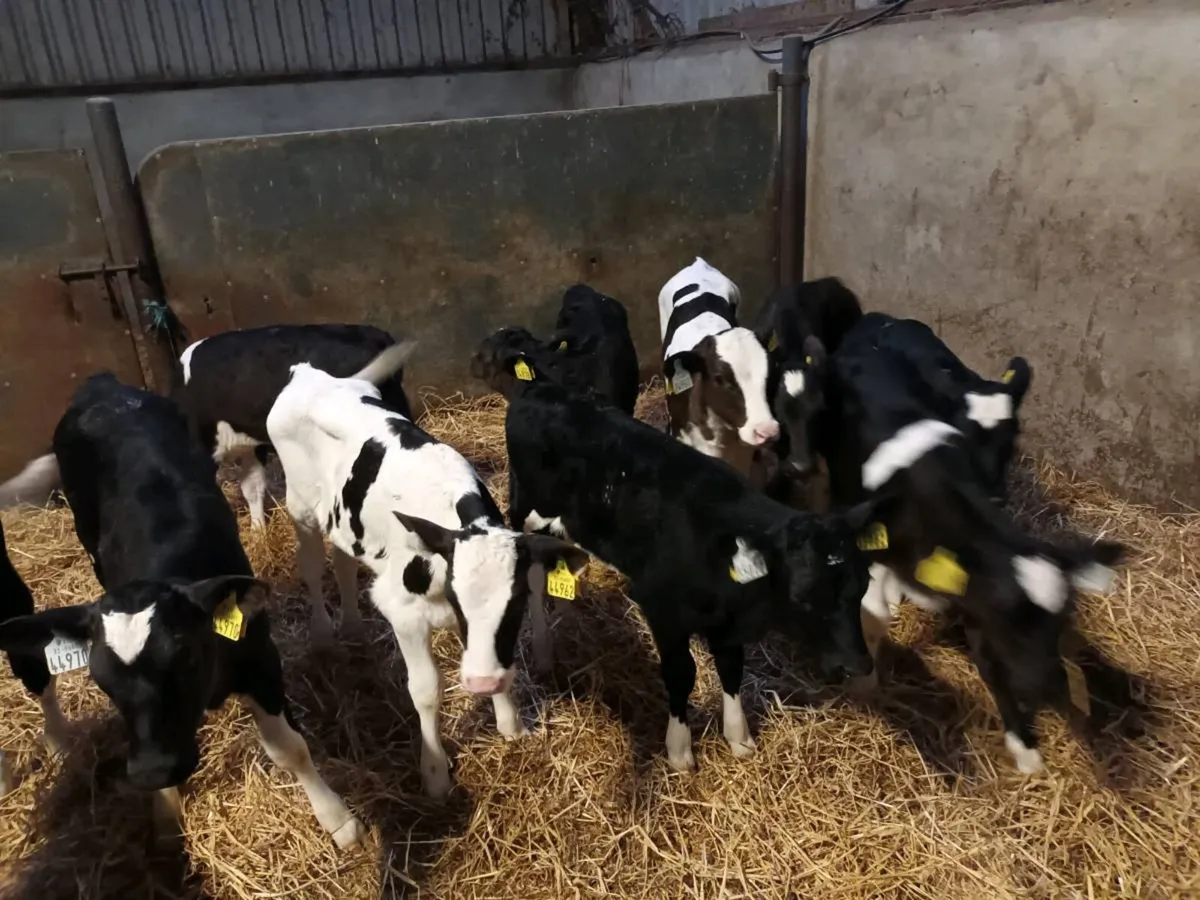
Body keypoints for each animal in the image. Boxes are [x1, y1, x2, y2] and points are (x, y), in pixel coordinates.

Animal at [0, 374, 363, 847]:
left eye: (185, 656)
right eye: (102, 681)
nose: (154, 770)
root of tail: (103, 384)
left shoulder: (260, 656)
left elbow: (290, 749)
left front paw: (337, 819)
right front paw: (166, 809)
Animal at [266, 345, 587, 798]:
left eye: (518, 604)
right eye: (456, 597)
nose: (482, 684)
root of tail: (309, 374)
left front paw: (510, 725)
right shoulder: (403, 613)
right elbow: (426, 691)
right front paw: (434, 773)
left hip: (343, 520)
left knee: (343, 561)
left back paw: (352, 628)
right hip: (299, 506)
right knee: (311, 564)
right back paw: (325, 635)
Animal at [504, 379, 877, 772]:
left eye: (863, 586)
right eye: (803, 597)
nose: (859, 664)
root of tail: (539, 387)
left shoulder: (726, 622)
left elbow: (731, 668)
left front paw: (739, 737)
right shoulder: (662, 610)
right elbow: (681, 673)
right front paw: (680, 749)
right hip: (526, 512)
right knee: (532, 577)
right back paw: (544, 650)